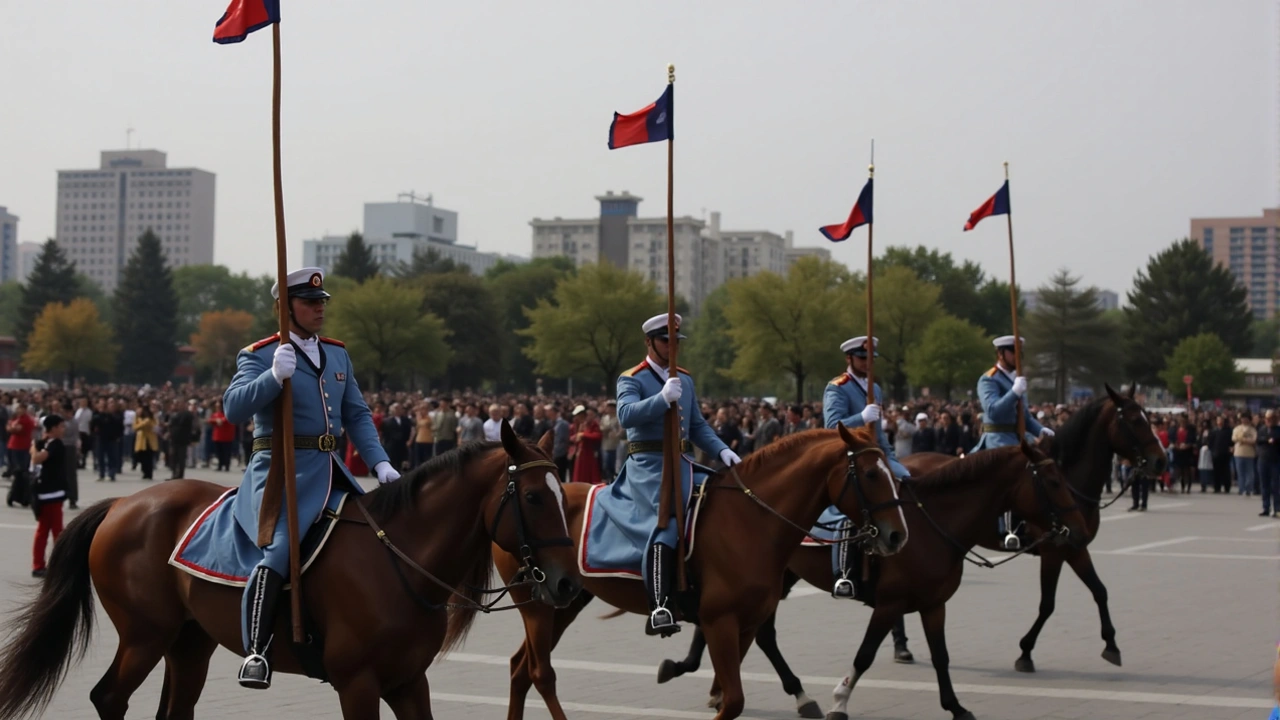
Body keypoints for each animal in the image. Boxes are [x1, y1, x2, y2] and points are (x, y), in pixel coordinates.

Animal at [0, 417, 581, 717]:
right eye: (533, 496)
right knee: (108, 697)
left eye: (561, 493)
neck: (401, 560)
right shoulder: (358, 684)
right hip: (145, 636)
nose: (567, 583)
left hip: (189, 643)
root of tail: (124, 503)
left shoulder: (409, 681)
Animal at [478, 422, 911, 717]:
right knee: (537, 671)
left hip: (566, 602)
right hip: (537, 606)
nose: (897, 536)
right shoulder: (720, 620)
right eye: (871, 474)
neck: (752, 520)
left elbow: (732, 689)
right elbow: (732, 699)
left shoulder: (745, 623)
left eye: (892, 471)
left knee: (520, 668)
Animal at [660, 438, 1090, 717]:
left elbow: (941, 656)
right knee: (754, 633)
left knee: (755, 634)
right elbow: (864, 654)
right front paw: (840, 701)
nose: (1081, 531)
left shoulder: (933, 604)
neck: (934, 525)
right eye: (1053, 481)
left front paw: (956, 707)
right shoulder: (890, 603)